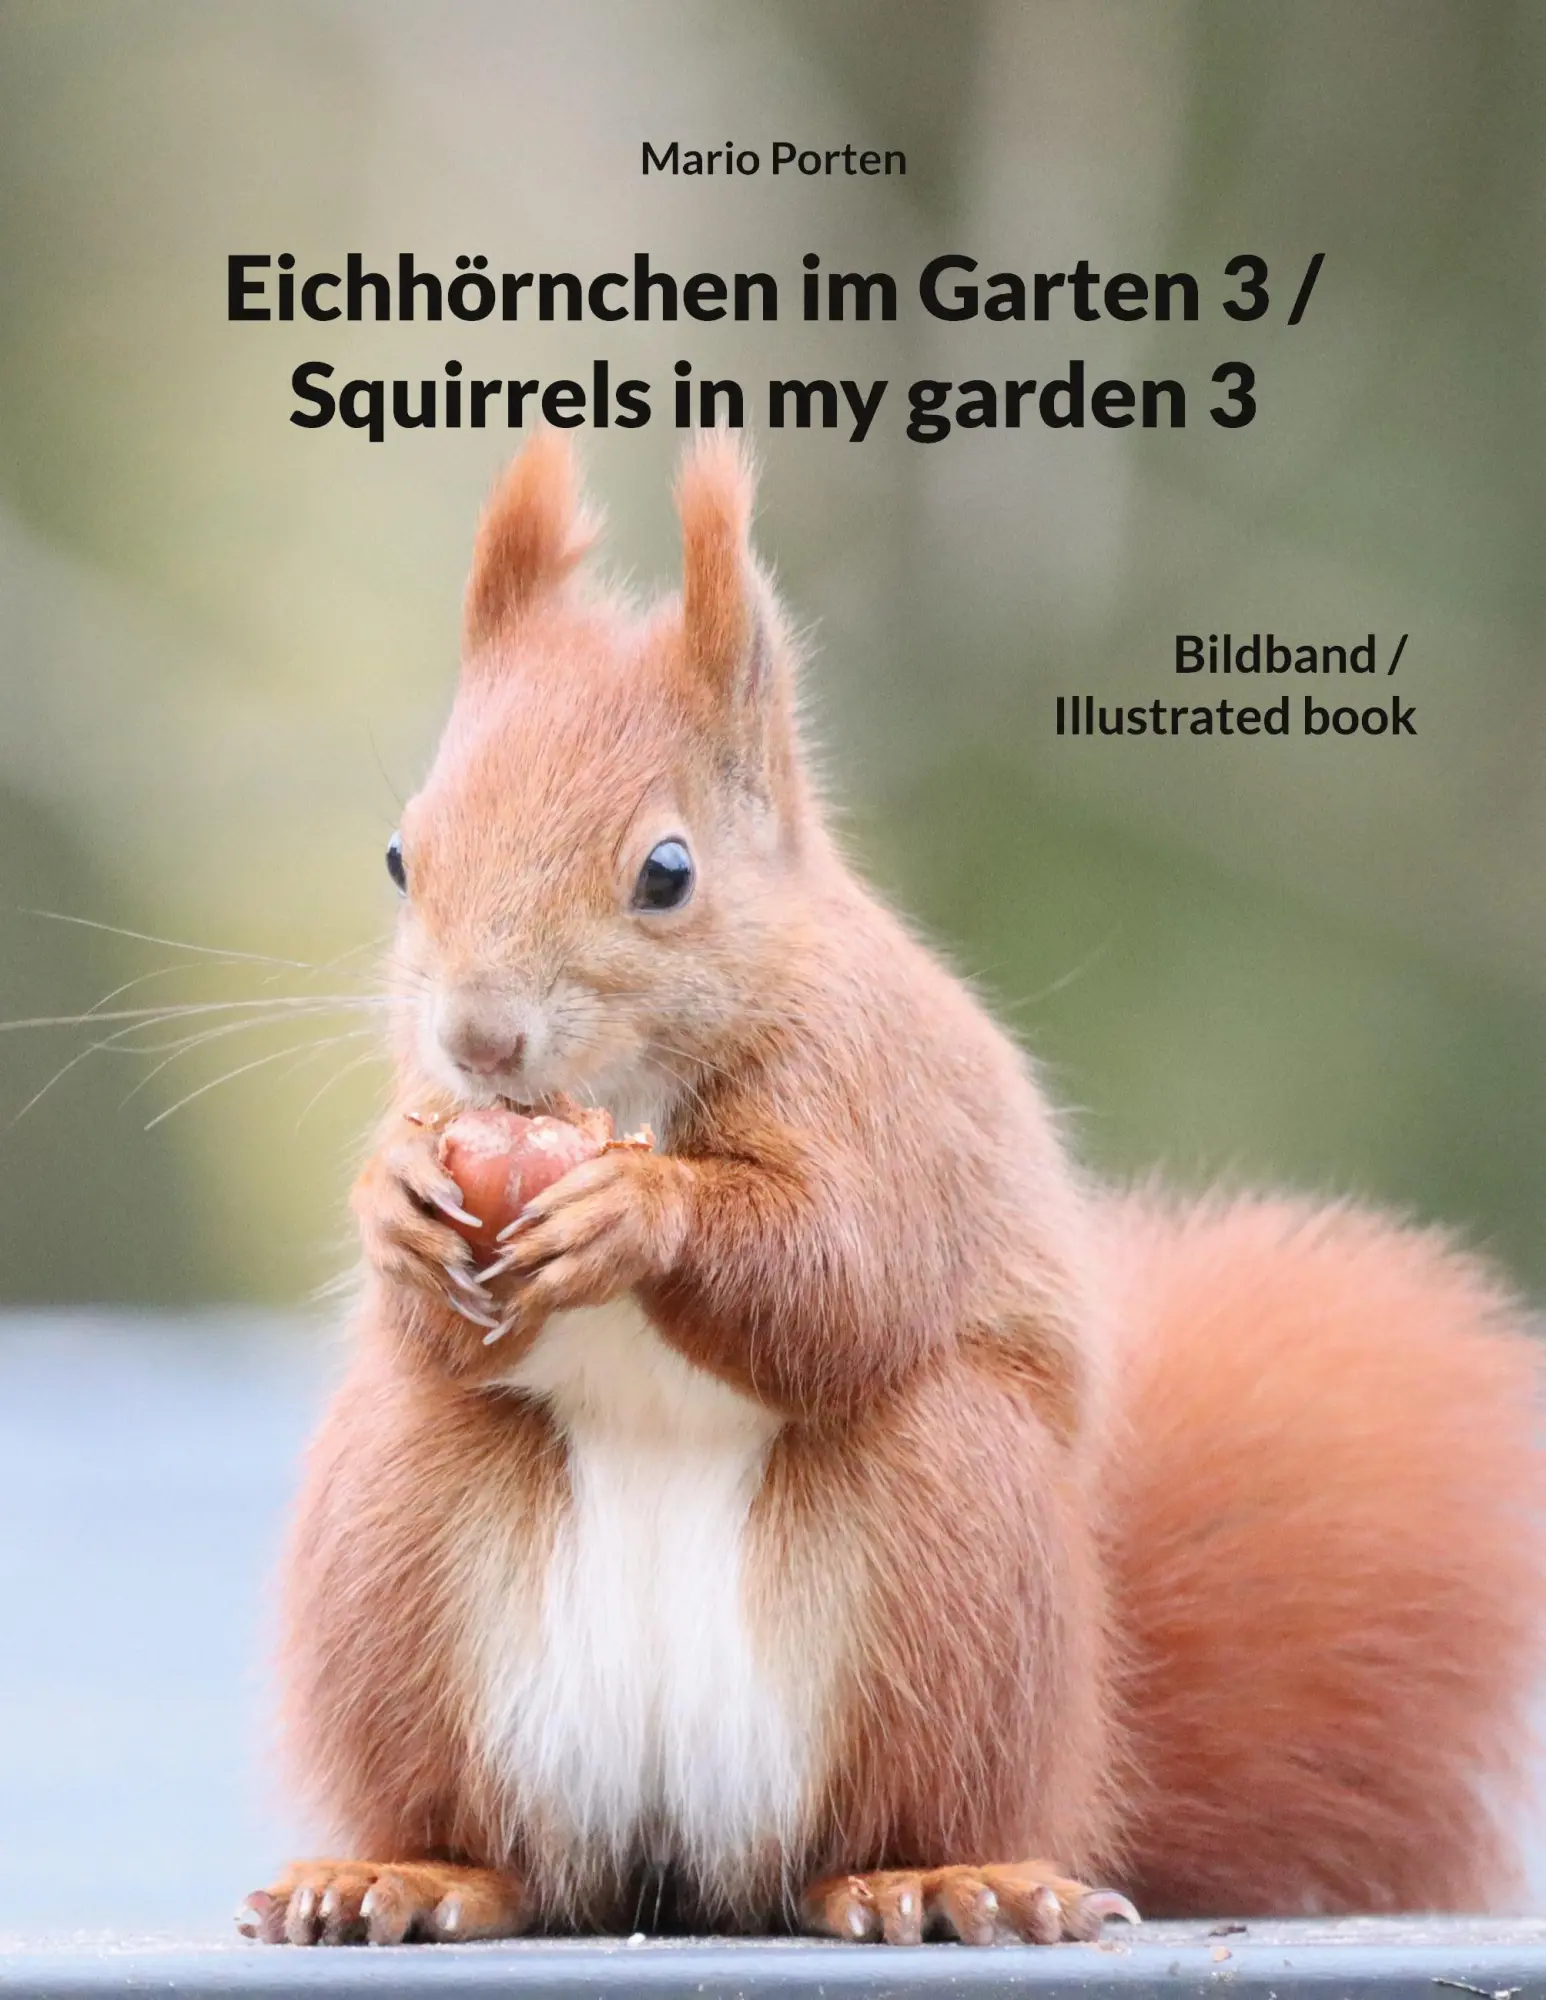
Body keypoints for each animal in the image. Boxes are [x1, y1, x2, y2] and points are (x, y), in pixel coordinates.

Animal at [239, 430, 1545, 1949]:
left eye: (667, 872)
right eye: (402, 855)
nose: (480, 1039)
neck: (633, 1097)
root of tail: (673, 1855)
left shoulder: (880, 1102)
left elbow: (840, 1278)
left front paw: (638, 1215)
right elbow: (431, 1316)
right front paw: (390, 1198)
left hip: (946, 1547)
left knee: (876, 1818)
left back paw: (934, 1876)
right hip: (401, 1551)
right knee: (511, 1844)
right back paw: (411, 1871)